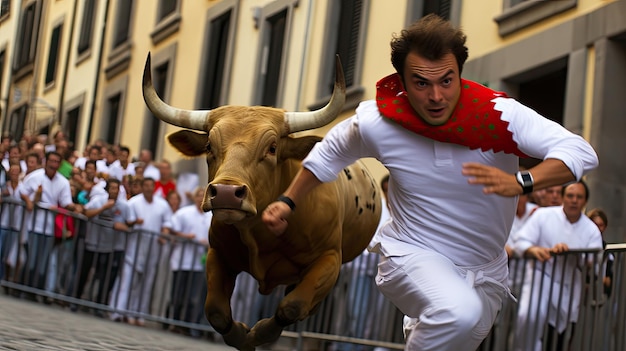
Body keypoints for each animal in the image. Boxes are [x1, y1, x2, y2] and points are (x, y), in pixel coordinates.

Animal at [142, 53, 380, 350]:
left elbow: (292, 306)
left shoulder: (330, 260)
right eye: (209, 146)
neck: (258, 233)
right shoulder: (218, 253)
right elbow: (216, 311)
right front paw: (242, 337)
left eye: (272, 148)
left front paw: (259, 334)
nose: (226, 192)